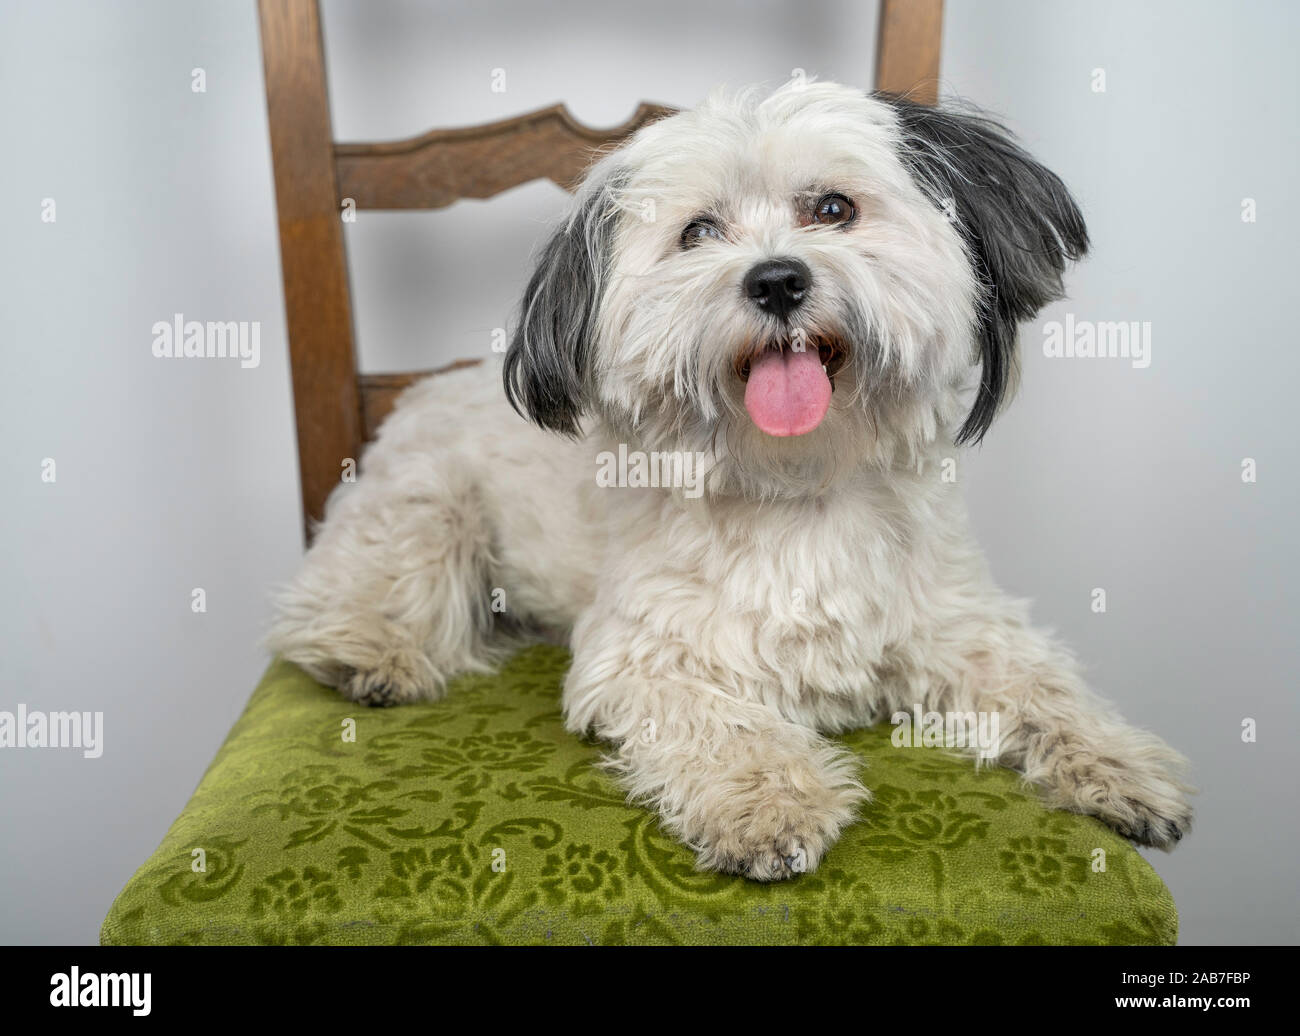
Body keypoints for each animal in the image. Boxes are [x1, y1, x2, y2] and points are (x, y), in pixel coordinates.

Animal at [269, 80, 1190, 878]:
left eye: (833, 209)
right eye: (698, 233)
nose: (777, 279)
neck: (797, 489)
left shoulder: (960, 623)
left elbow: (1040, 684)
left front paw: (1119, 762)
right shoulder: (645, 658)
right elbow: (725, 726)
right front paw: (770, 805)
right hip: (424, 514)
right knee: (355, 593)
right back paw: (371, 654)